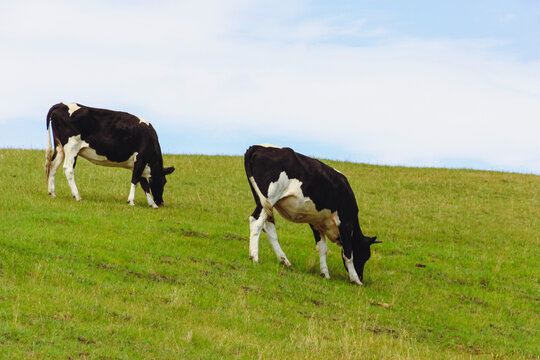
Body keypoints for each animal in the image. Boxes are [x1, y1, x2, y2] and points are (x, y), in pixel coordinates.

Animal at [45, 102, 175, 207]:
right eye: (164, 181)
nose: (161, 202)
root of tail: (61, 104)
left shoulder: (138, 163)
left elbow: (144, 184)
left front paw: (152, 204)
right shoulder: (140, 159)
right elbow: (136, 180)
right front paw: (131, 201)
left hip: (60, 147)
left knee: (53, 166)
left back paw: (52, 193)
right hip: (72, 147)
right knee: (68, 169)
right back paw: (77, 196)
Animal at [245, 145, 380, 286]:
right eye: (364, 255)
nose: (361, 276)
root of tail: (259, 147)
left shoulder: (316, 222)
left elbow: (322, 248)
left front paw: (325, 274)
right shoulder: (345, 222)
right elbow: (348, 253)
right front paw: (355, 280)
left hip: (264, 202)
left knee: (269, 228)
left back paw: (285, 261)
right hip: (269, 197)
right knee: (256, 222)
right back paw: (254, 257)